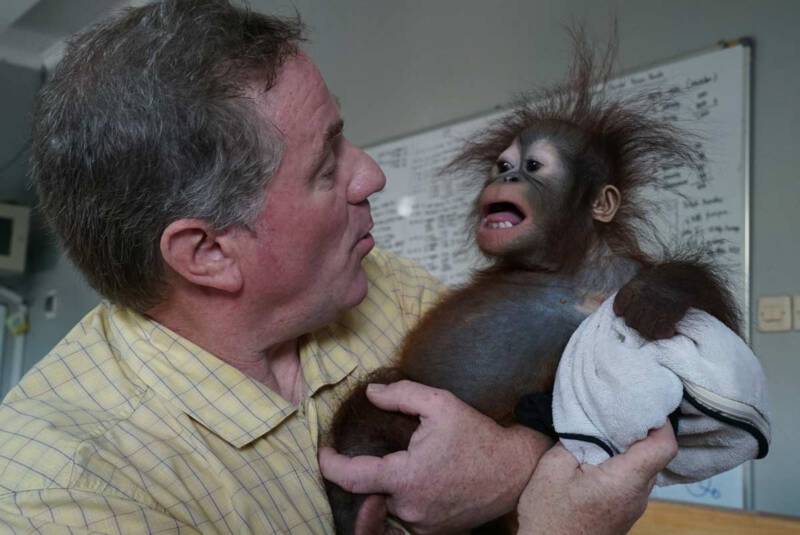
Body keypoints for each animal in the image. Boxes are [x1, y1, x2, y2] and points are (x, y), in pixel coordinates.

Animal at [325, 31, 740, 535]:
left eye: (535, 166)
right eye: (503, 164)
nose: (508, 176)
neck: (559, 266)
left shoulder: (619, 271)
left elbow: (718, 323)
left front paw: (656, 296)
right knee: (370, 409)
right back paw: (360, 514)